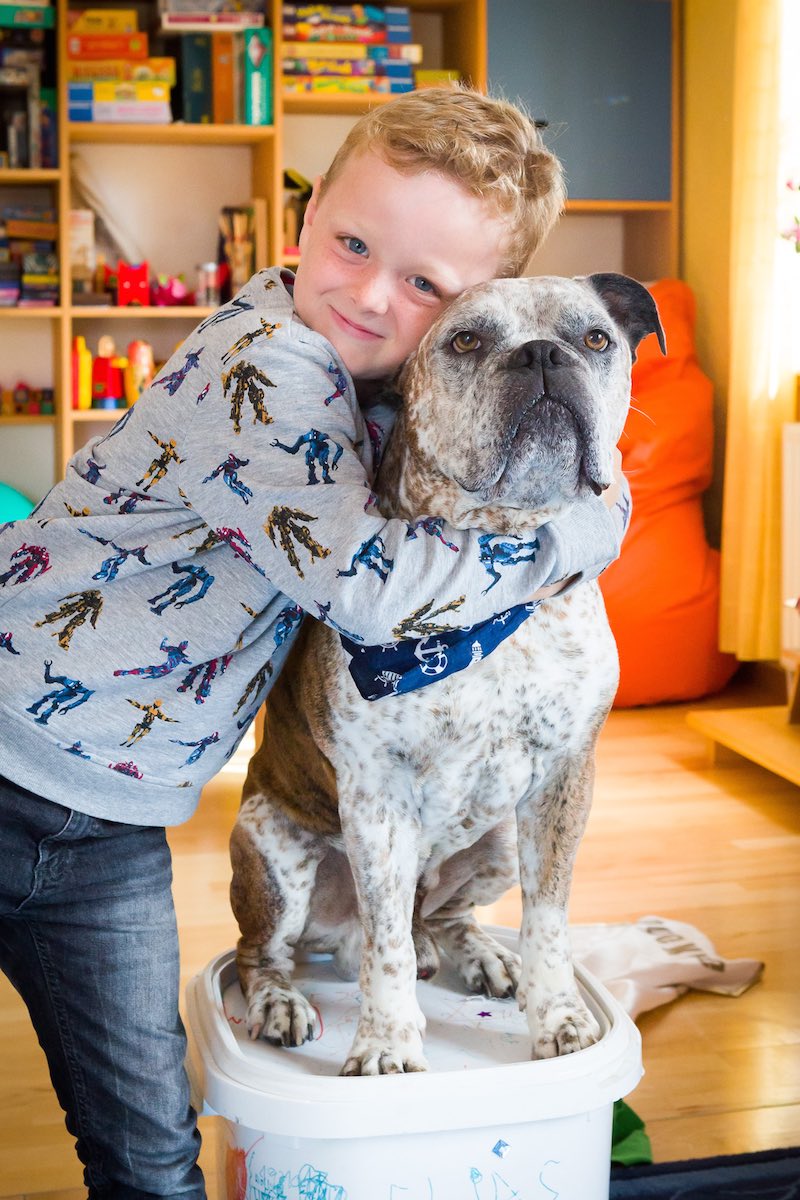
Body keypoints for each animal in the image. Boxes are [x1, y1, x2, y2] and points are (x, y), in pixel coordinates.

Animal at [230, 273, 664, 1076]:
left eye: (595, 339)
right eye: (465, 340)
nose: (543, 355)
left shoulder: (562, 785)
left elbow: (549, 922)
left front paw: (559, 1017)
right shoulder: (376, 801)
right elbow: (387, 946)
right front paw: (385, 1045)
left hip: (498, 843)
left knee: (445, 916)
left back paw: (481, 956)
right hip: (273, 849)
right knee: (266, 951)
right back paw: (280, 1002)